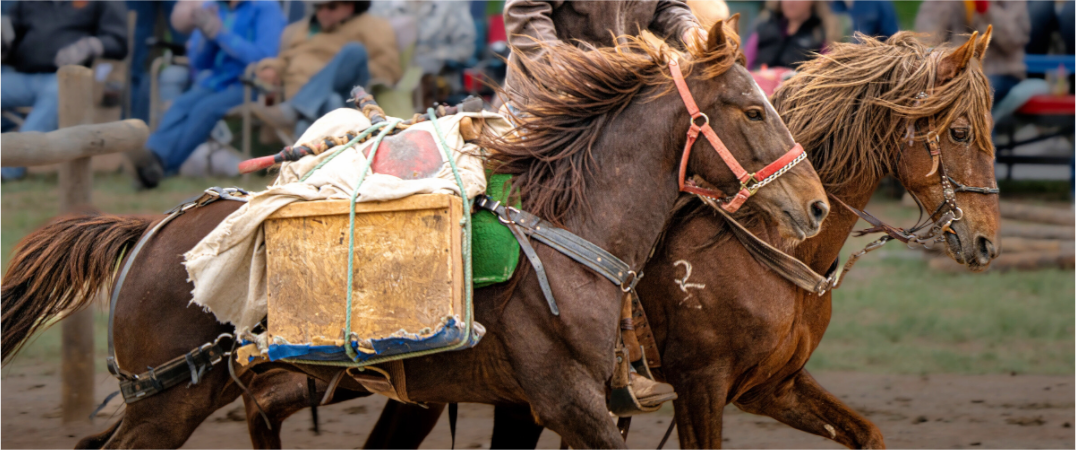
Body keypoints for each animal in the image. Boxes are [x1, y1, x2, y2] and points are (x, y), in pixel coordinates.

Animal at [0, 19, 830, 450]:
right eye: (752, 110)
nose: (816, 204)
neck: (565, 231)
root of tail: (151, 231)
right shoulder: (570, 401)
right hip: (166, 402)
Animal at [242, 30, 1002, 450]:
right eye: (961, 132)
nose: (988, 243)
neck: (770, 254)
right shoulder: (699, 388)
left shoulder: (771, 386)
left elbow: (867, 433)